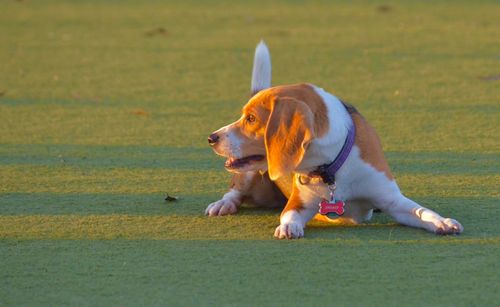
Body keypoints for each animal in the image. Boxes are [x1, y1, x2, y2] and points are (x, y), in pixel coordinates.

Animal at [205, 41, 462, 239]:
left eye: (251, 118)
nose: (211, 137)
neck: (332, 166)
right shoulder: (298, 203)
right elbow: (289, 216)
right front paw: (289, 227)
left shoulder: (392, 200)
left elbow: (422, 211)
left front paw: (443, 221)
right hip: (250, 177)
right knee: (235, 190)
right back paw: (223, 204)